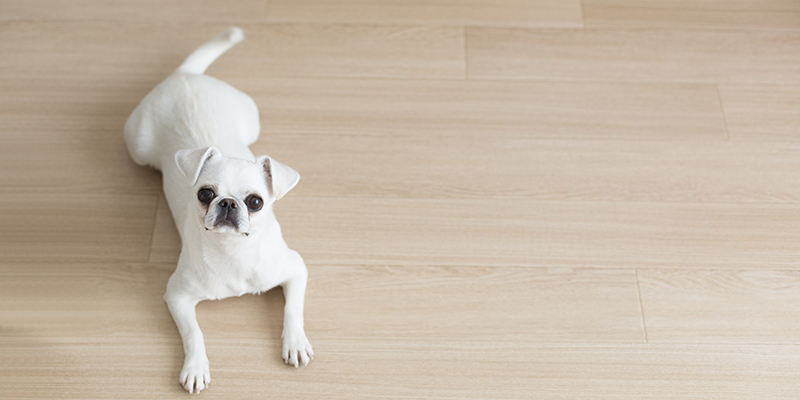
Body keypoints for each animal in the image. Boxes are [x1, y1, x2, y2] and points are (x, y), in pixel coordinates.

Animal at [124, 27, 312, 394]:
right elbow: (193, 334)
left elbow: (292, 309)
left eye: (256, 202)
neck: (233, 253)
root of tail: (185, 75)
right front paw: (195, 367)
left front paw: (295, 342)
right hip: (136, 146)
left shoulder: (295, 270)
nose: (227, 203)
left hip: (252, 120)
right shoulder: (178, 296)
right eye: (205, 194)